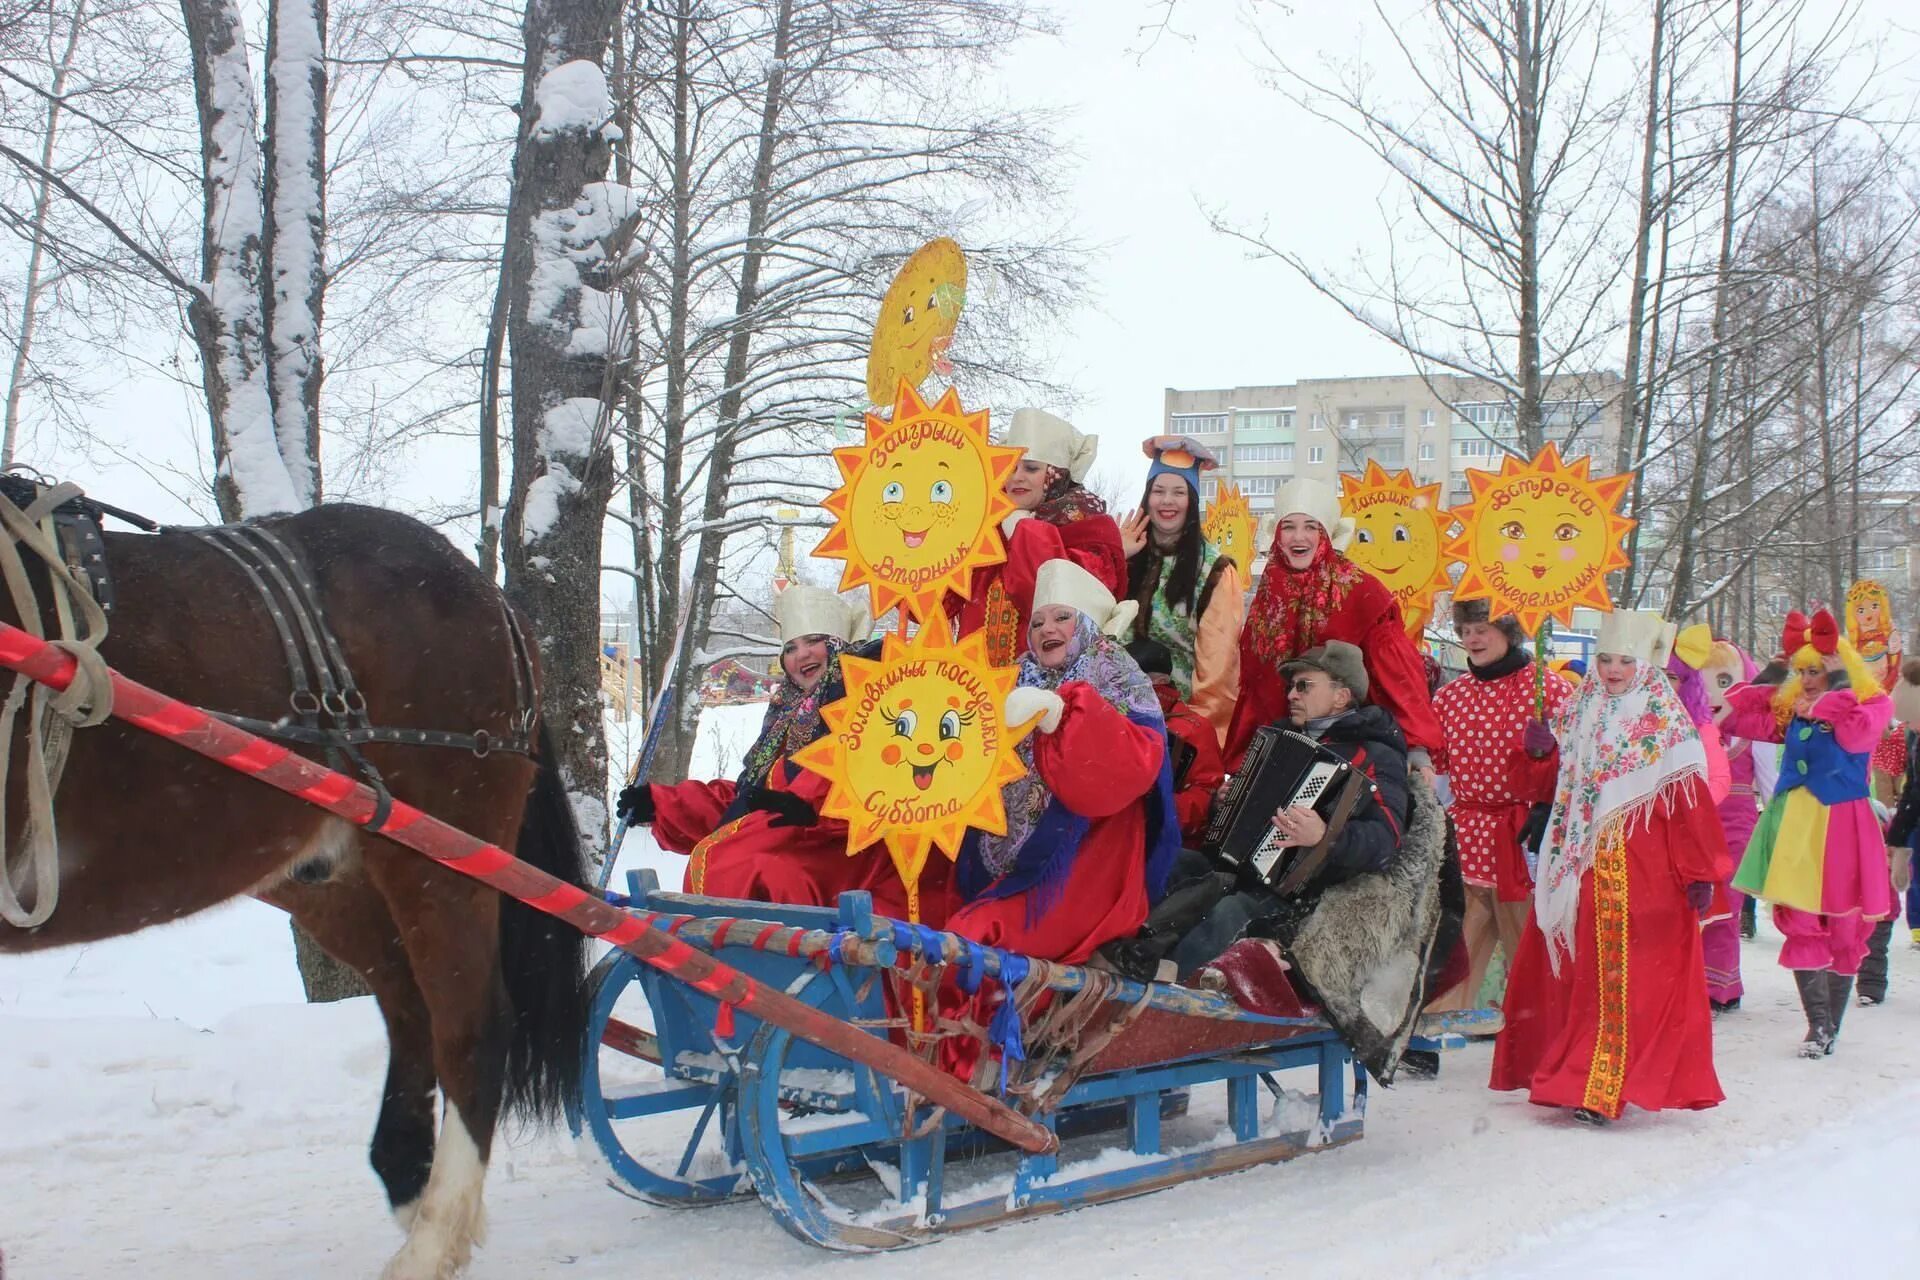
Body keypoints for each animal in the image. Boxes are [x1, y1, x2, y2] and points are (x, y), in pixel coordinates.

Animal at [0, 506, 587, 1280]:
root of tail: (491, 594)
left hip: (442, 850)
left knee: (472, 1024)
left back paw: (432, 1240)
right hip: (331, 873)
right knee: (411, 1003)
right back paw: (416, 1190)